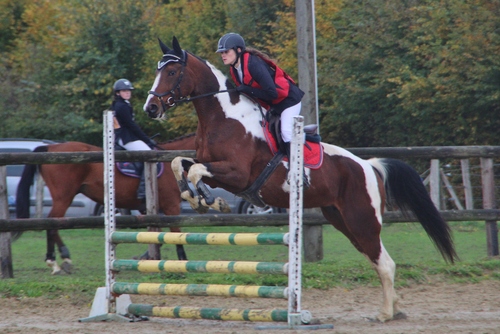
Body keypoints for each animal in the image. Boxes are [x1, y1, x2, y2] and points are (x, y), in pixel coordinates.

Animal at [15, 132, 195, 274]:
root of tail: (51, 148)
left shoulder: (153, 210)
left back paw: (63, 259)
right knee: (52, 223)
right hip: (63, 197)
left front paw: (145, 258)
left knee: (54, 222)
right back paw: (56, 263)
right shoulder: (171, 205)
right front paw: (183, 262)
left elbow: (158, 236)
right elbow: (176, 234)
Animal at [143, 37, 458, 324]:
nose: (150, 108)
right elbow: (180, 164)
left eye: (172, 72)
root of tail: (368, 166)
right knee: (377, 260)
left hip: (362, 221)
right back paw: (395, 308)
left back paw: (385, 314)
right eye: (158, 70)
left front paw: (210, 201)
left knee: (385, 263)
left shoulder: (237, 174)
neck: (224, 117)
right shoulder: (214, 167)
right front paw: (200, 199)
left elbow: (196, 171)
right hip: (342, 221)